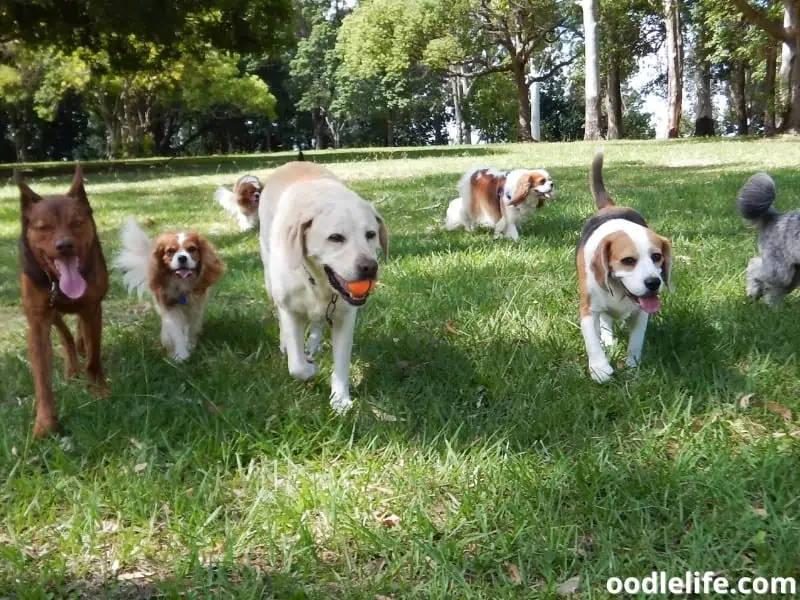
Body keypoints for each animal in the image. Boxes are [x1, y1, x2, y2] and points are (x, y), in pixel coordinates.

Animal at [18, 166, 108, 438]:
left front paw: (98, 389)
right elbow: (42, 377)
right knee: (65, 335)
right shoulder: (38, 322)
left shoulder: (92, 308)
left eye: (77, 222)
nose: (64, 245)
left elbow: (94, 357)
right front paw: (45, 423)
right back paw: (72, 364)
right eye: (43, 227)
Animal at [114, 219, 223, 364]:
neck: (181, 283)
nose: (182, 258)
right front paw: (181, 355)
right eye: (170, 251)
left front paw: (190, 344)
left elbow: (192, 327)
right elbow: (176, 332)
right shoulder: (170, 307)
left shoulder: (195, 307)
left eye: (192, 249)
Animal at [260, 161, 388, 412]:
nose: (370, 267)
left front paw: (340, 400)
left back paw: (314, 342)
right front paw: (309, 367)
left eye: (370, 234)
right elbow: (296, 366)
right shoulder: (290, 309)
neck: (318, 282)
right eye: (336, 237)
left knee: (318, 321)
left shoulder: (345, 316)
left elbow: (341, 362)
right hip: (269, 277)